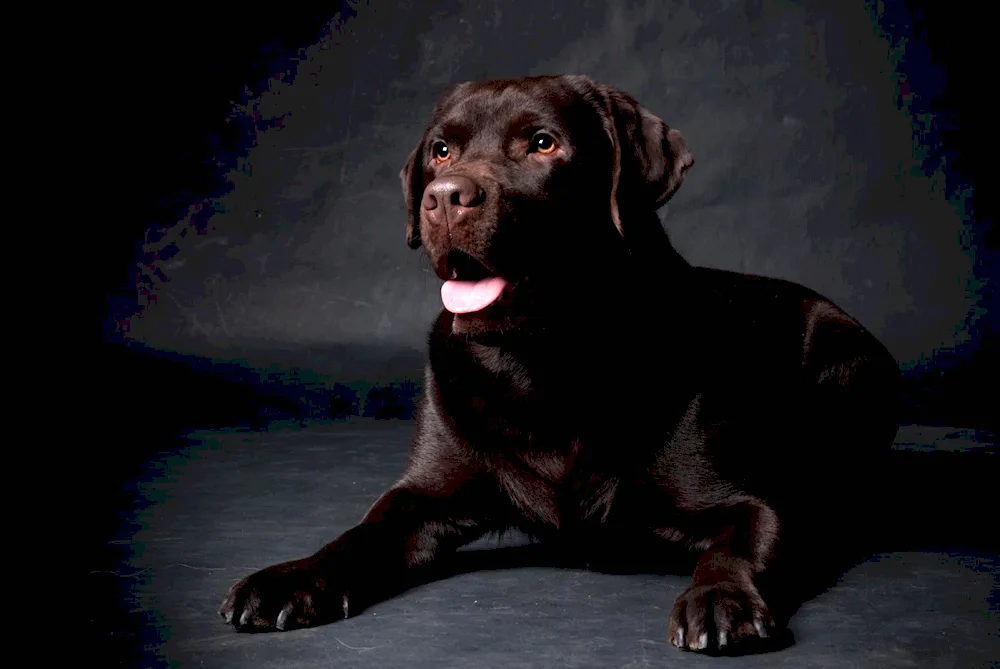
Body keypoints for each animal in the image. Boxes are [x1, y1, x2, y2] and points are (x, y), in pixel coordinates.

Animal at [217, 73, 900, 652]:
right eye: (442, 151)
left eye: (543, 144)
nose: (445, 197)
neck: (539, 359)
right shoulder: (423, 493)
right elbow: (361, 531)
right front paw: (290, 577)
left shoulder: (748, 501)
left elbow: (743, 542)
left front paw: (719, 597)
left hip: (850, 364)